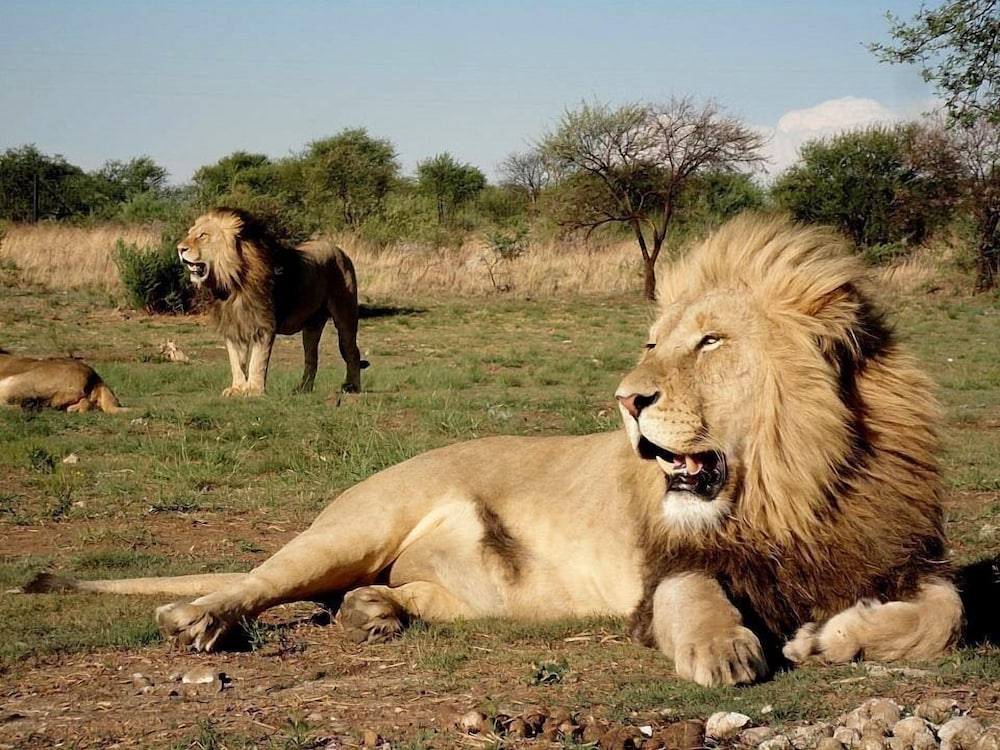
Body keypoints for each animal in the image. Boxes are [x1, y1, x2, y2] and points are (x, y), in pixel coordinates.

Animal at [176, 208, 369, 396]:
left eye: (203, 235)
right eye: (190, 233)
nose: (179, 249)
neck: (232, 282)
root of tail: (339, 250)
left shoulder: (264, 324)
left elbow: (257, 361)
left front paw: (253, 390)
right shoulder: (233, 325)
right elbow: (236, 361)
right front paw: (237, 388)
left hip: (345, 315)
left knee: (352, 352)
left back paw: (352, 387)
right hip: (311, 326)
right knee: (311, 358)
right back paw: (303, 389)